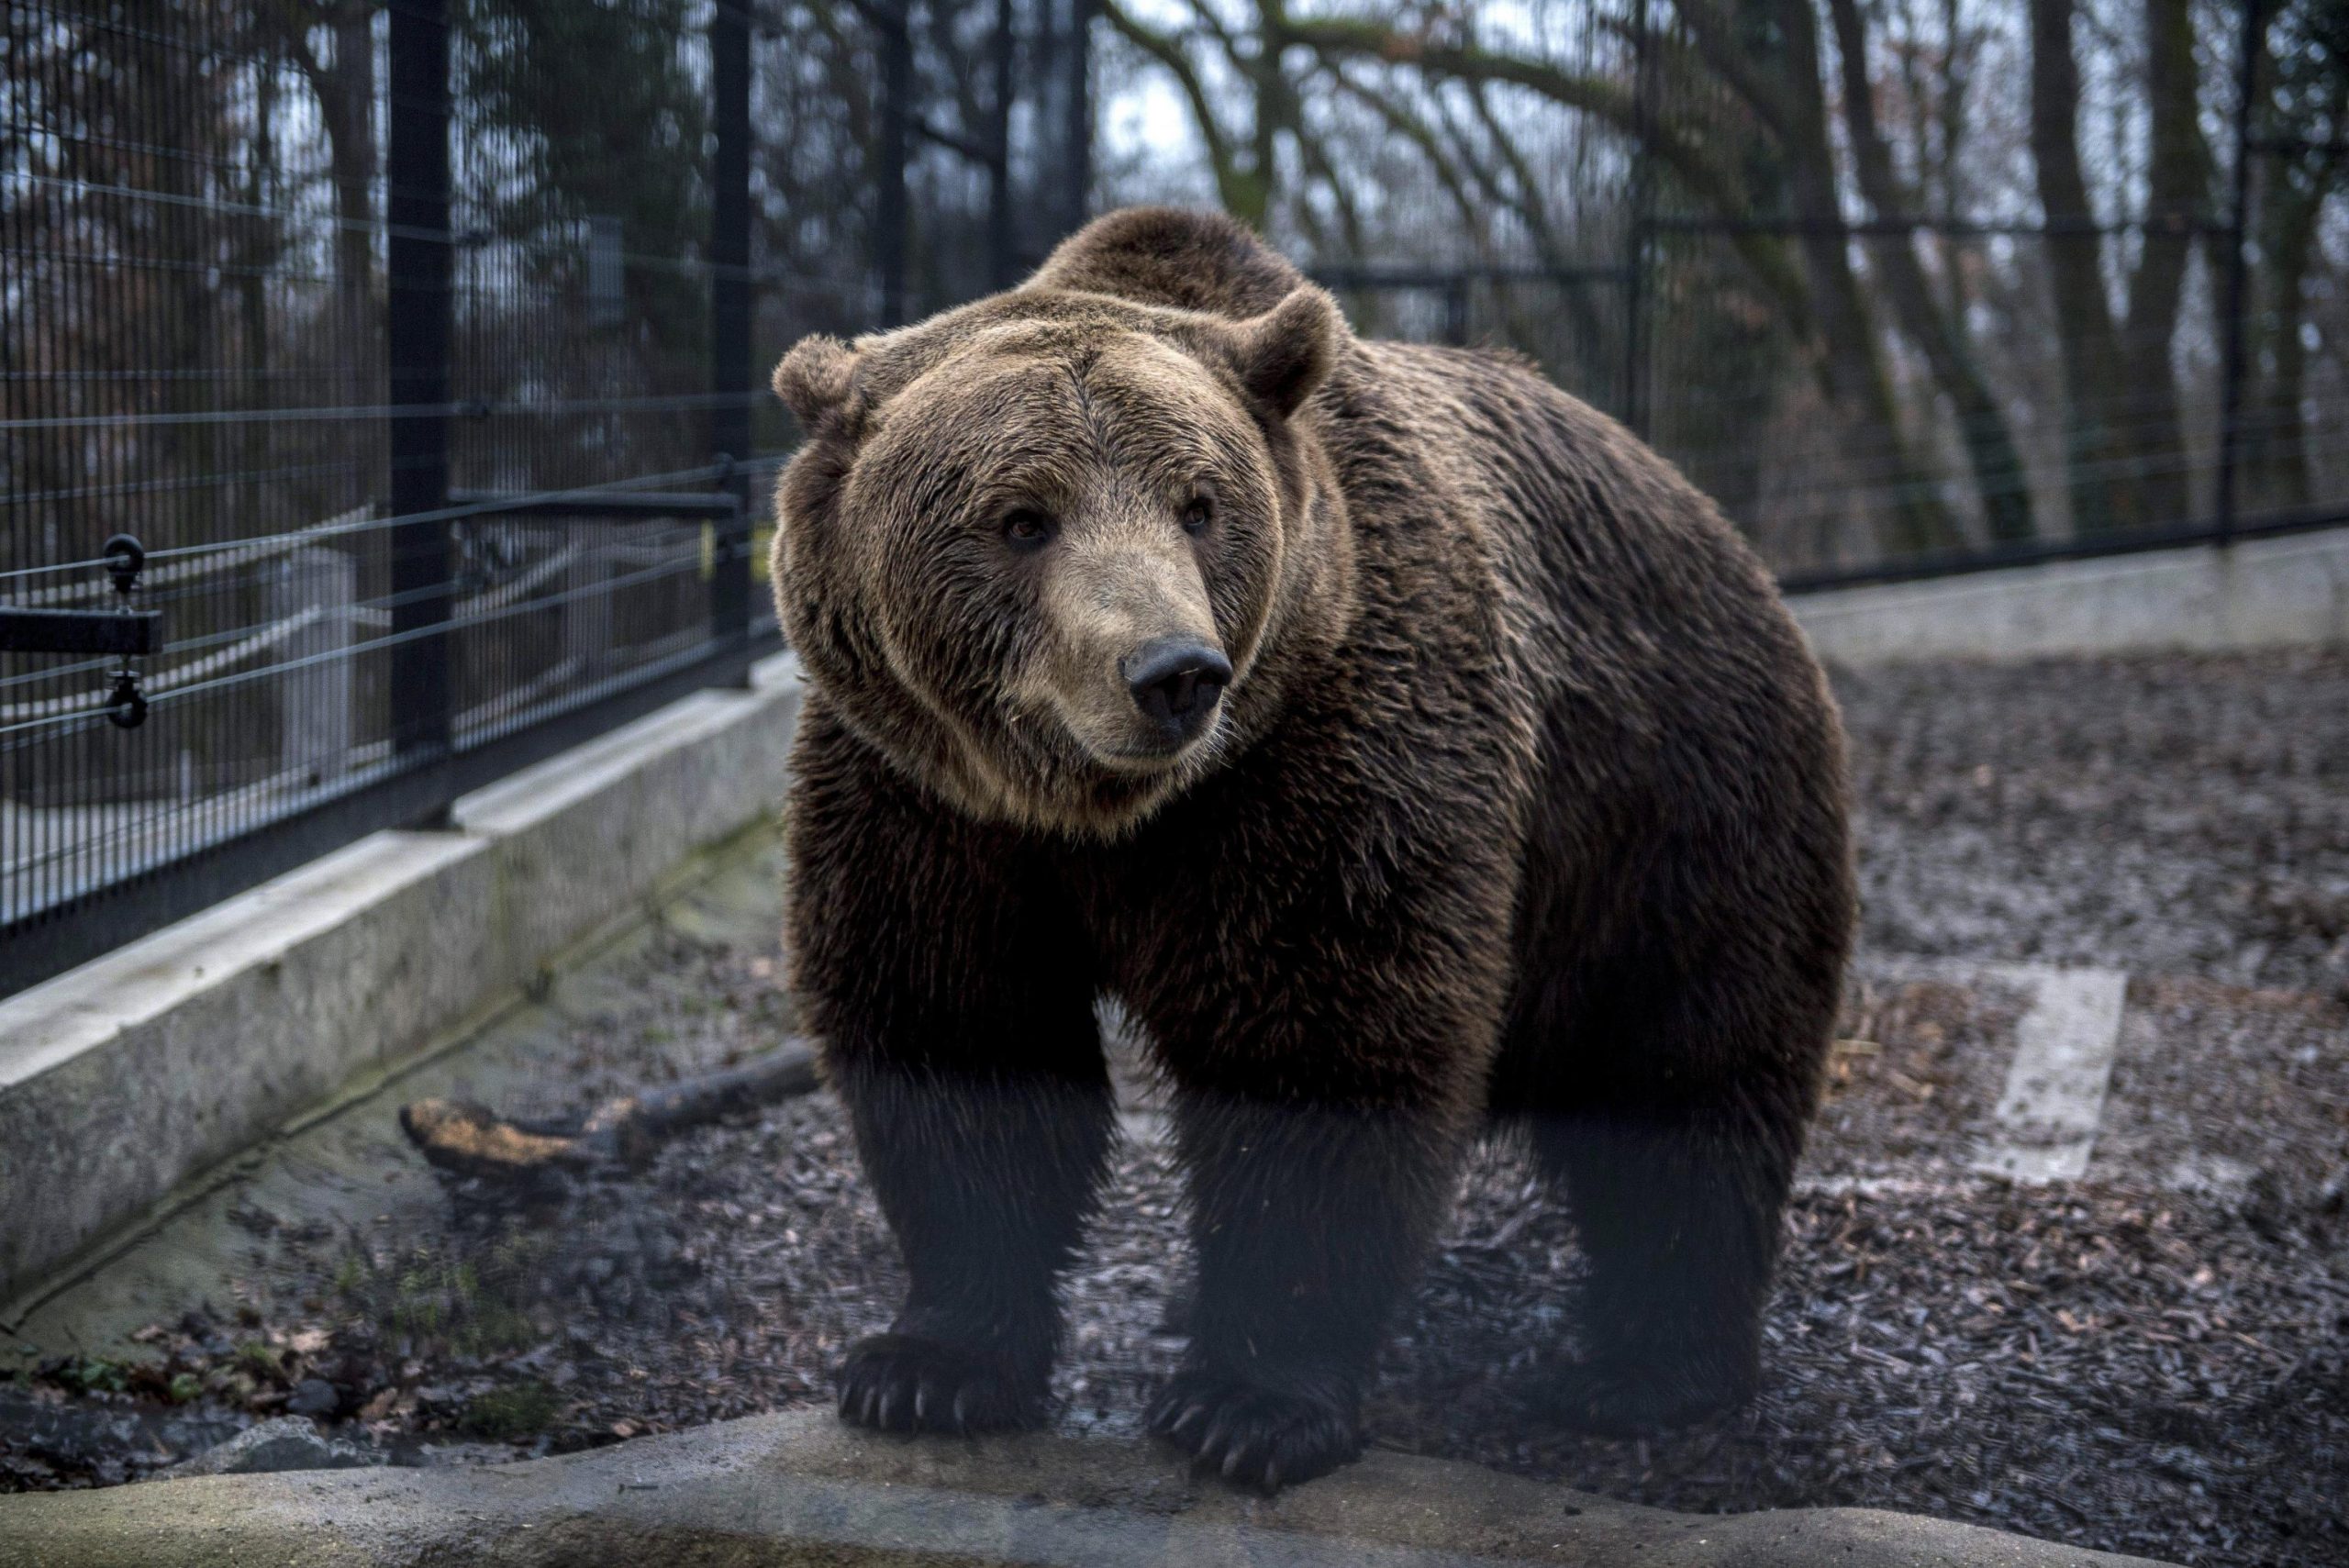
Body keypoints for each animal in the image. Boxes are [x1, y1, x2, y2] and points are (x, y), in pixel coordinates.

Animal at [770, 207, 1851, 1493]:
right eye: (1021, 516)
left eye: (1197, 503)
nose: (1172, 671)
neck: (1104, 813)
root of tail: (1717, 526)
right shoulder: (924, 798)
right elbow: (955, 1034)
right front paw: (926, 1365)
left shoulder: (1329, 753)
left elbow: (1320, 1040)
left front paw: (1248, 1402)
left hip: (1671, 795)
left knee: (1684, 1067)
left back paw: (1641, 1367)